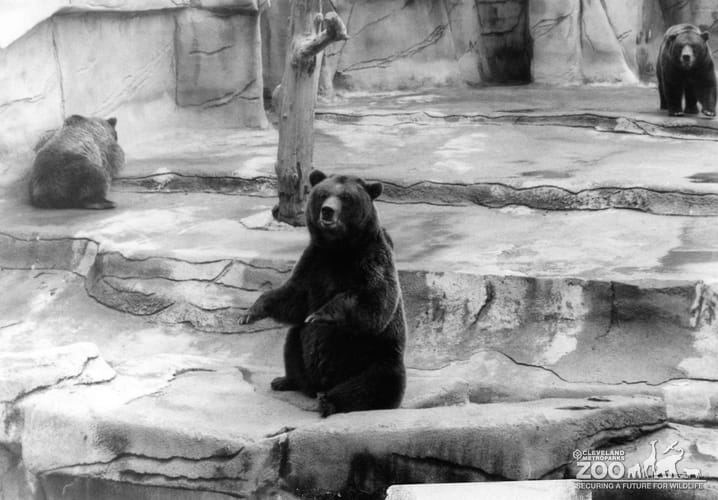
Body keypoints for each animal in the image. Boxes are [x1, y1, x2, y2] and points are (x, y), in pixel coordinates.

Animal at [239, 170, 406, 417]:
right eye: (323, 194)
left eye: (346, 197)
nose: (327, 211)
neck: (338, 248)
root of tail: (319, 386)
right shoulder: (315, 261)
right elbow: (293, 297)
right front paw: (250, 313)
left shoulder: (372, 258)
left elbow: (374, 302)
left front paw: (319, 315)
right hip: (301, 349)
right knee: (292, 344)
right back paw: (286, 381)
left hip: (375, 356)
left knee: (375, 383)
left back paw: (329, 401)